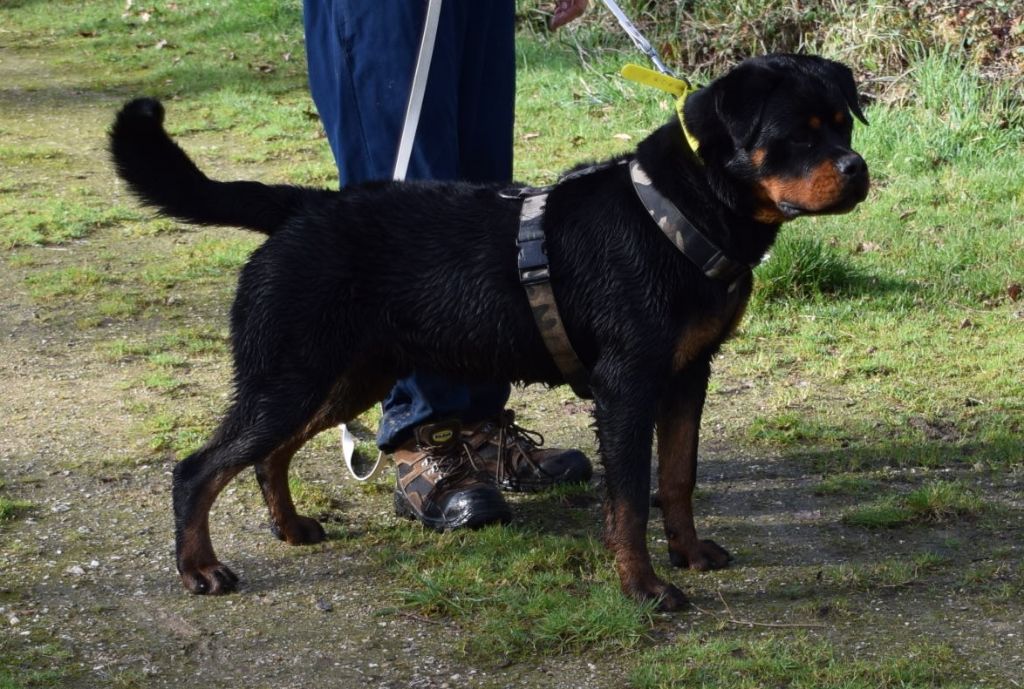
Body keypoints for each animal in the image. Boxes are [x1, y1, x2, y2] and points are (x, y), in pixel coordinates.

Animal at [110, 55, 864, 614]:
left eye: (843, 125)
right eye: (798, 133)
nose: (858, 170)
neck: (683, 208)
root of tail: (303, 206)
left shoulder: (688, 374)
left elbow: (677, 478)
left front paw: (691, 553)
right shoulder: (627, 386)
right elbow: (628, 501)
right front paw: (644, 587)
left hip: (345, 375)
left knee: (271, 455)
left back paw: (290, 528)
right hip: (292, 376)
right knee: (199, 467)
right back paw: (200, 568)